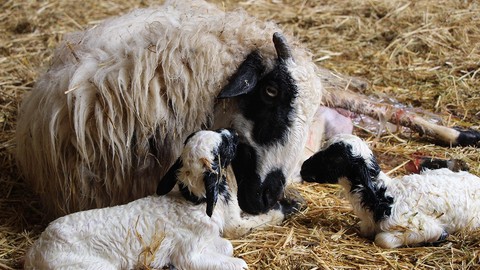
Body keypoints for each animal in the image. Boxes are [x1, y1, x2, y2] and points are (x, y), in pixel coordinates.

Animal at [25, 129, 292, 270]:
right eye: (224, 145)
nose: (235, 134)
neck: (193, 203)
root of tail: (35, 252)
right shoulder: (189, 252)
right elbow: (237, 260)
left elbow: (226, 245)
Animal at [300, 134, 480, 248]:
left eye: (335, 157)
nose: (303, 169)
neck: (383, 196)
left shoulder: (424, 227)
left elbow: (382, 239)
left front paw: (439, 239)